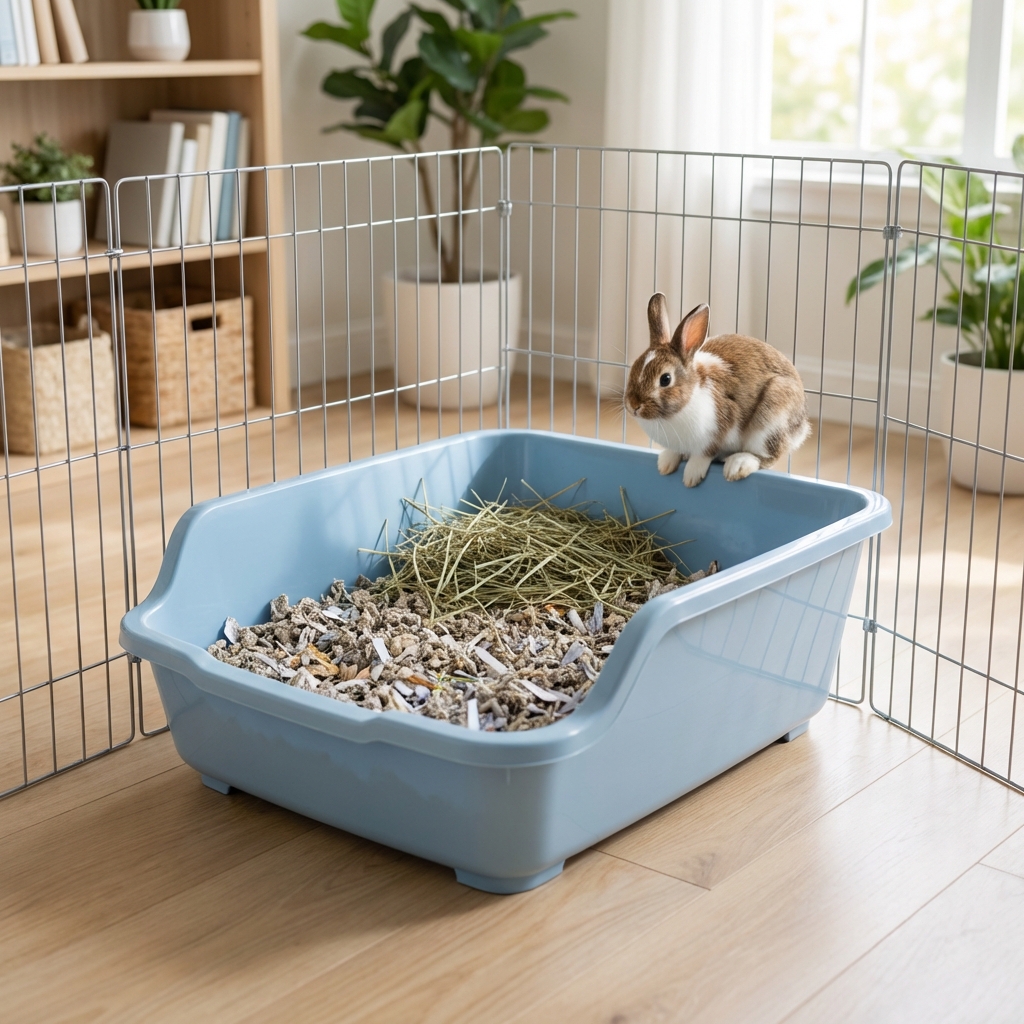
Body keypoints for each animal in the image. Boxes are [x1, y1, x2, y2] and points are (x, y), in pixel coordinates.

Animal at [624, 293, 810, 487]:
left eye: (665, 379)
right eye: (634, 367)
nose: (633, 406)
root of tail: (802, 426)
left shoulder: (720, 428)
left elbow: (704, 454)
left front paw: (691, 476)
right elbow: (675, 452)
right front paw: (665, 464)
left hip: (770, 422)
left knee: (767, 457)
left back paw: (737, 466)